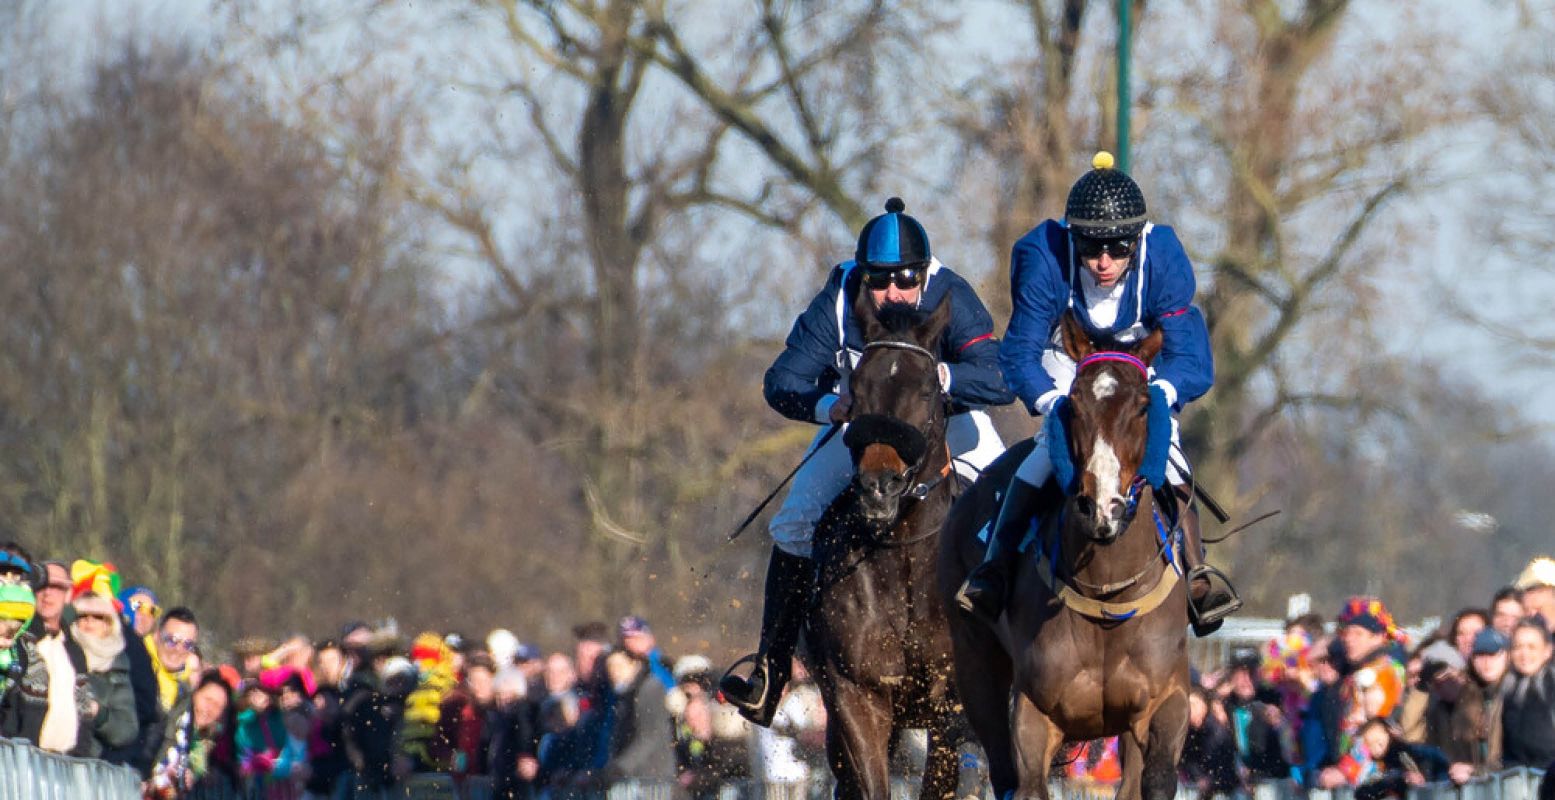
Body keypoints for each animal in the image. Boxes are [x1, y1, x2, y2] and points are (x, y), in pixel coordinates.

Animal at [932, 311, 1188, 796]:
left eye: (1144, 406)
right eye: (1073, 406)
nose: (1102, 507)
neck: (1107, 598)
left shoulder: (1165, 697)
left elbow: (1158, 776)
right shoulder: (1034, 711)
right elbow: (1027, 781)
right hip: (975, 667)